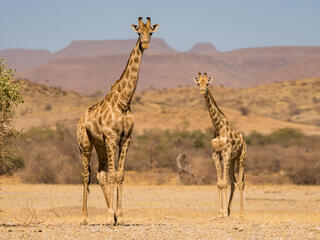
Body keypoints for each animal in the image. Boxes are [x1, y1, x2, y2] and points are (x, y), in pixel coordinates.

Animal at [76, 16, 159, 225]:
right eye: (138, 32)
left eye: (151, 32)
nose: (145, 44)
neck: (124, 102)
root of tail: (81, 118)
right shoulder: (112, 138)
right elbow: (113, 175)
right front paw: (109, 216)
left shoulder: (125, 139)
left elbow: (119, 175)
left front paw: (118, 216)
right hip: (85, 144)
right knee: (86, 174)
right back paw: (84, 217)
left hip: (100, 144)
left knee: (101, 174)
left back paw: (109, 214)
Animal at [192, 72, 248, 218]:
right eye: (198, 83)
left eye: (207, 83)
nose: (202, 91)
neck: (218, 127)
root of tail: (244, 141)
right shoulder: (216, 154)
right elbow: (219, 183)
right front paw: (221, 212)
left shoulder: (226, 153)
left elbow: (224, 183)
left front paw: (223, 213)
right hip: (232, 160)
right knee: (233, 182)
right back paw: (229, 210)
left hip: (241, 158)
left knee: (240, 183)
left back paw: (241, 212)